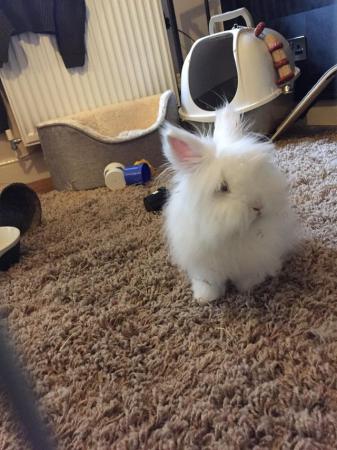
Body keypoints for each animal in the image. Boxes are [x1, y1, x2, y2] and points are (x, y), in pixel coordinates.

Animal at [161, 103, 298, 304]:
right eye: (223, 188)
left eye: (255, 173)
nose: (258, 206)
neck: (233, 234)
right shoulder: (204, 265)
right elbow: (208, 283)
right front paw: (204, 298)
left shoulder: (254, 256)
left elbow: (250, 275)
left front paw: (250, 286)